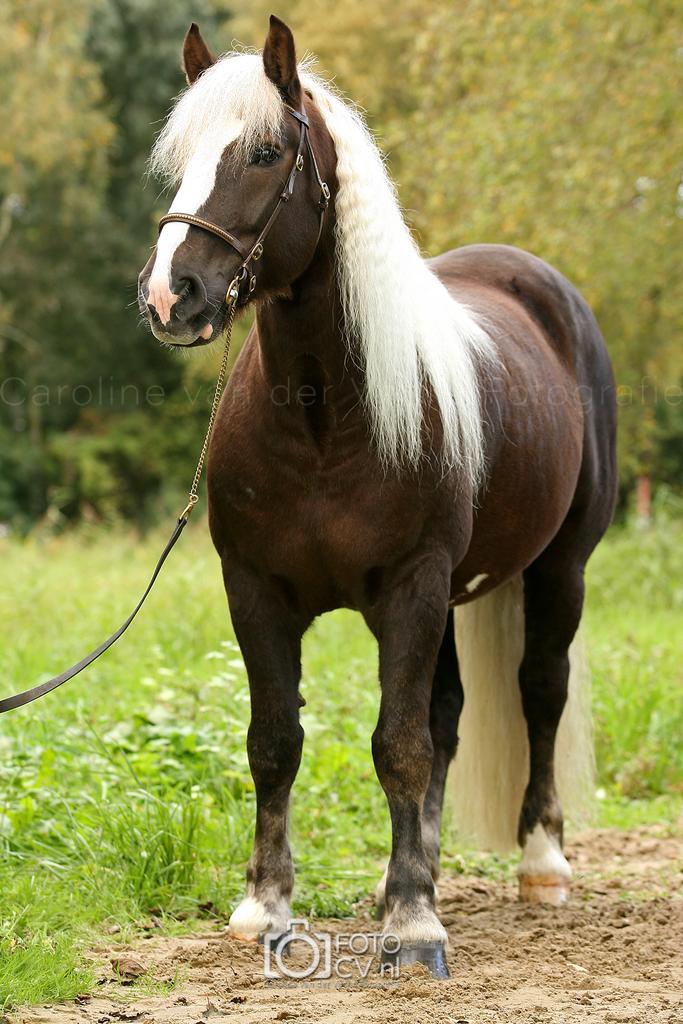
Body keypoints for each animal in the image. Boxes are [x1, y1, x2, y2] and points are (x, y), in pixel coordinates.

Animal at [137, 16, 617, 976]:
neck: (323, 420)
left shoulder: (410, 585)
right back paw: (415, 867)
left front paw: (415, 928)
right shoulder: (255, 591)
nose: (172, 295)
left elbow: (397, 745)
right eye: (179, 155)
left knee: (537, 694)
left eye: (266, 151)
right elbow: (276, 742)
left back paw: (539, 864)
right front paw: (267, 906)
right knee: (449, 717)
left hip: (556, 572)